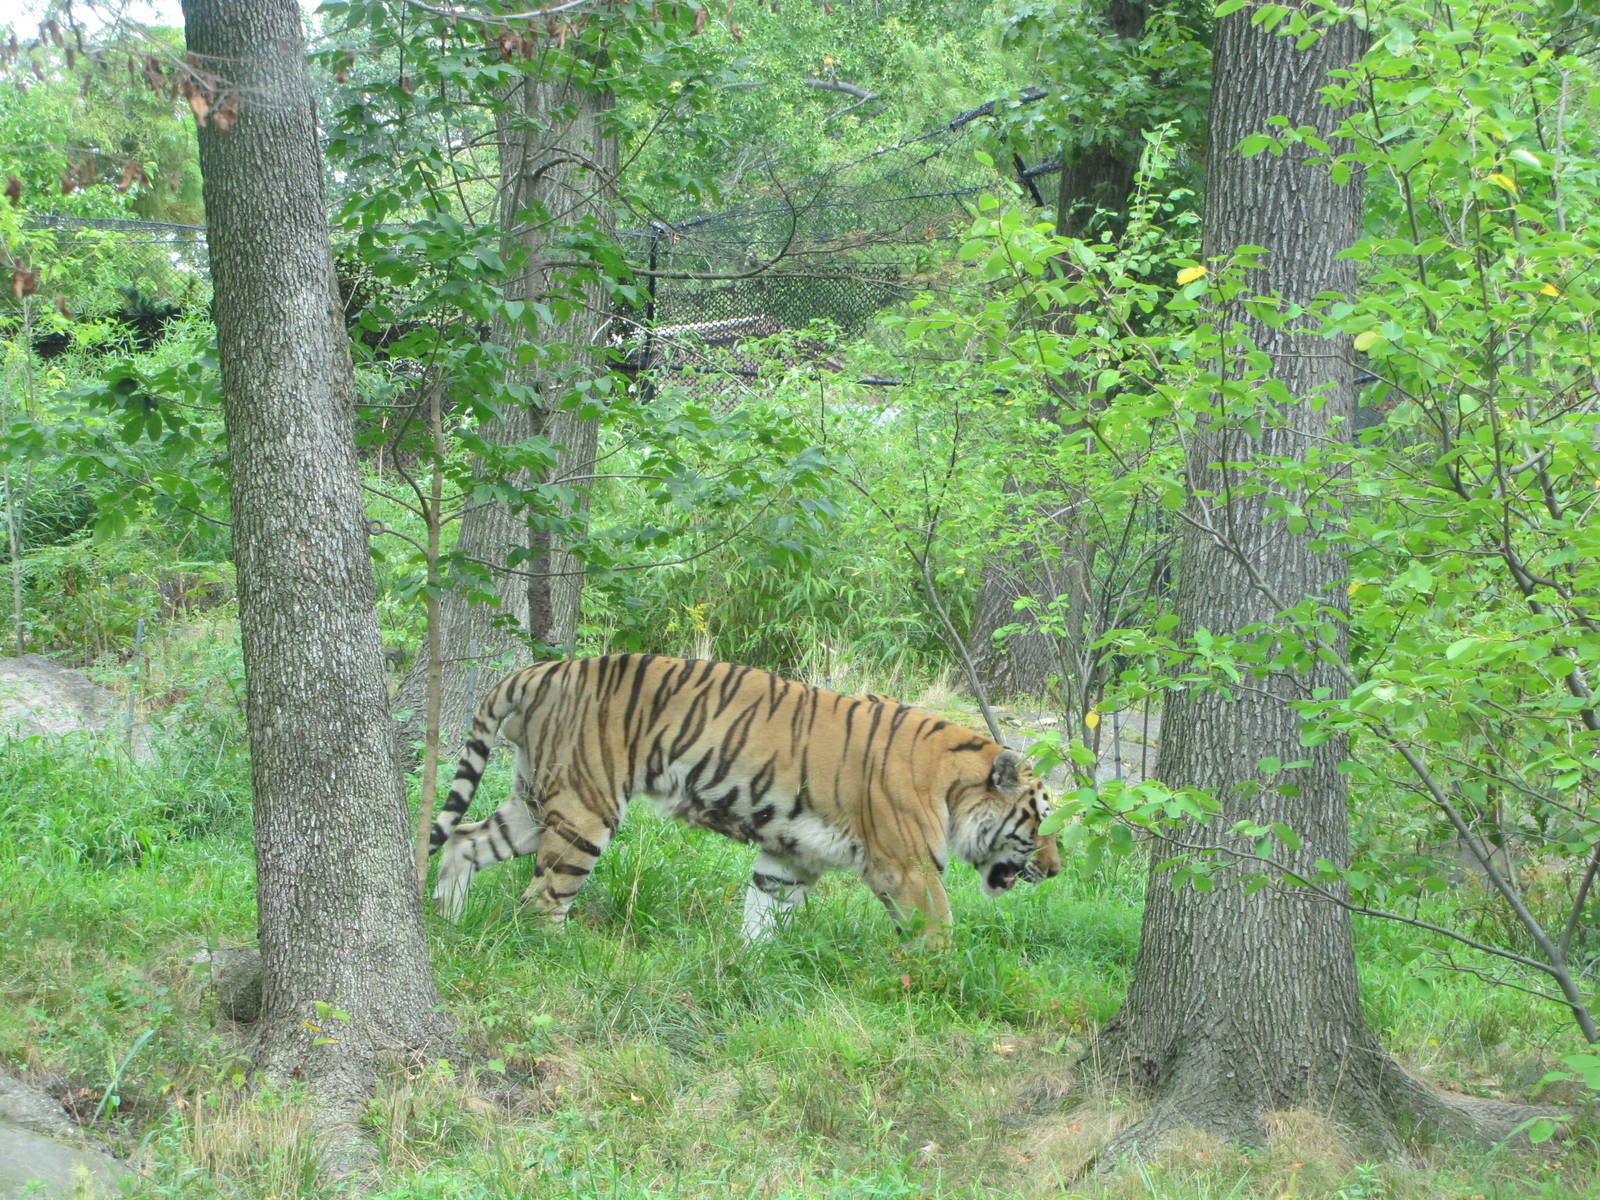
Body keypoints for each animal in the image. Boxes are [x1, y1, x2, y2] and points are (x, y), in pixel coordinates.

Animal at [429, 653, 1060, 941]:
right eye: (1040, 823)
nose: (1056, 872)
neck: (954, 789)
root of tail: (546, 667)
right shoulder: (908, 870)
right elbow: (939, 931)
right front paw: (941, 978)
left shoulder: (789, 855)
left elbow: (763, 916)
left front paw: (749, 966)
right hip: (586, 809)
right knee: (542, 897)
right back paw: (554, 953)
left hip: (537, 800)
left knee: (463, 840)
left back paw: (448, 921)